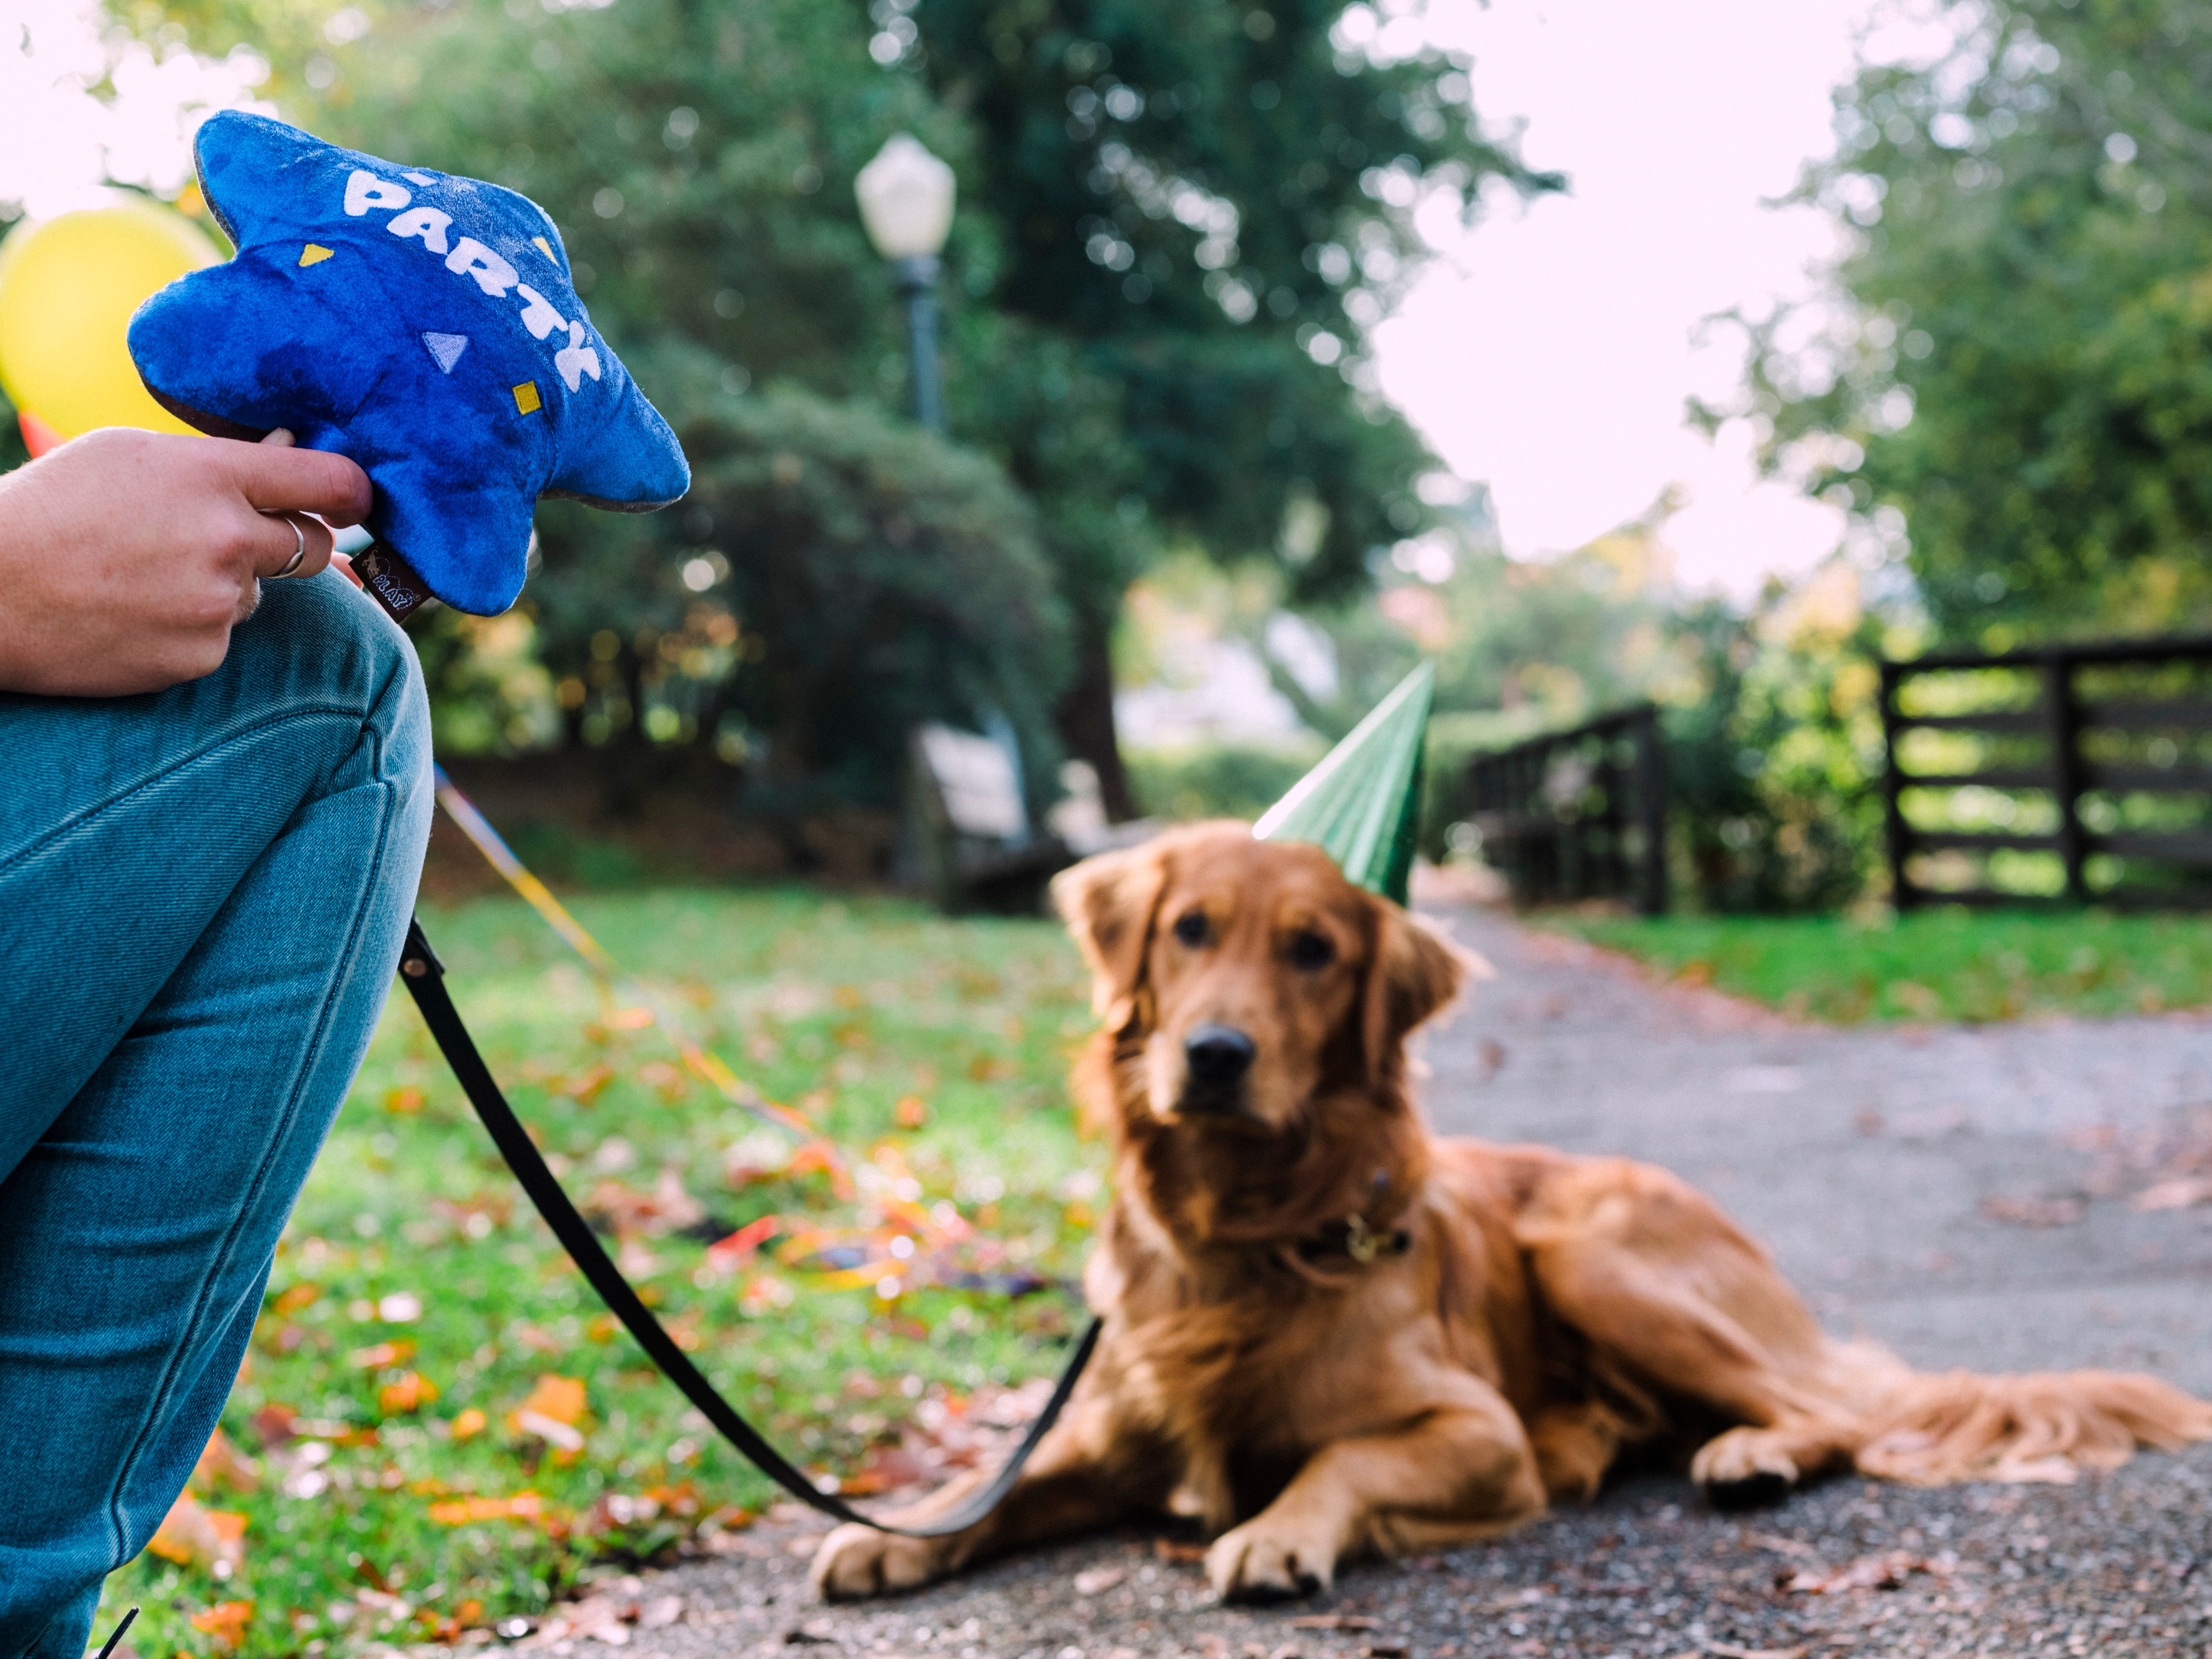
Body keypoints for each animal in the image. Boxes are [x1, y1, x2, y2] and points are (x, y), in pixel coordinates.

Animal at [814, 827, 2212, 1601]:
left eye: (1314, 949)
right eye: (1189, 928)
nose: (1213, 1054)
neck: (1245, 1230)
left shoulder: (1476, 1429)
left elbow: (1336, 1457)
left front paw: (1277, 1532)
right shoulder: (1117, 1429)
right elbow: (1003, 1480)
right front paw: (895, 1541)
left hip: (1591, 1252)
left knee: (1828, 1412)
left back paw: (1748, 1453)